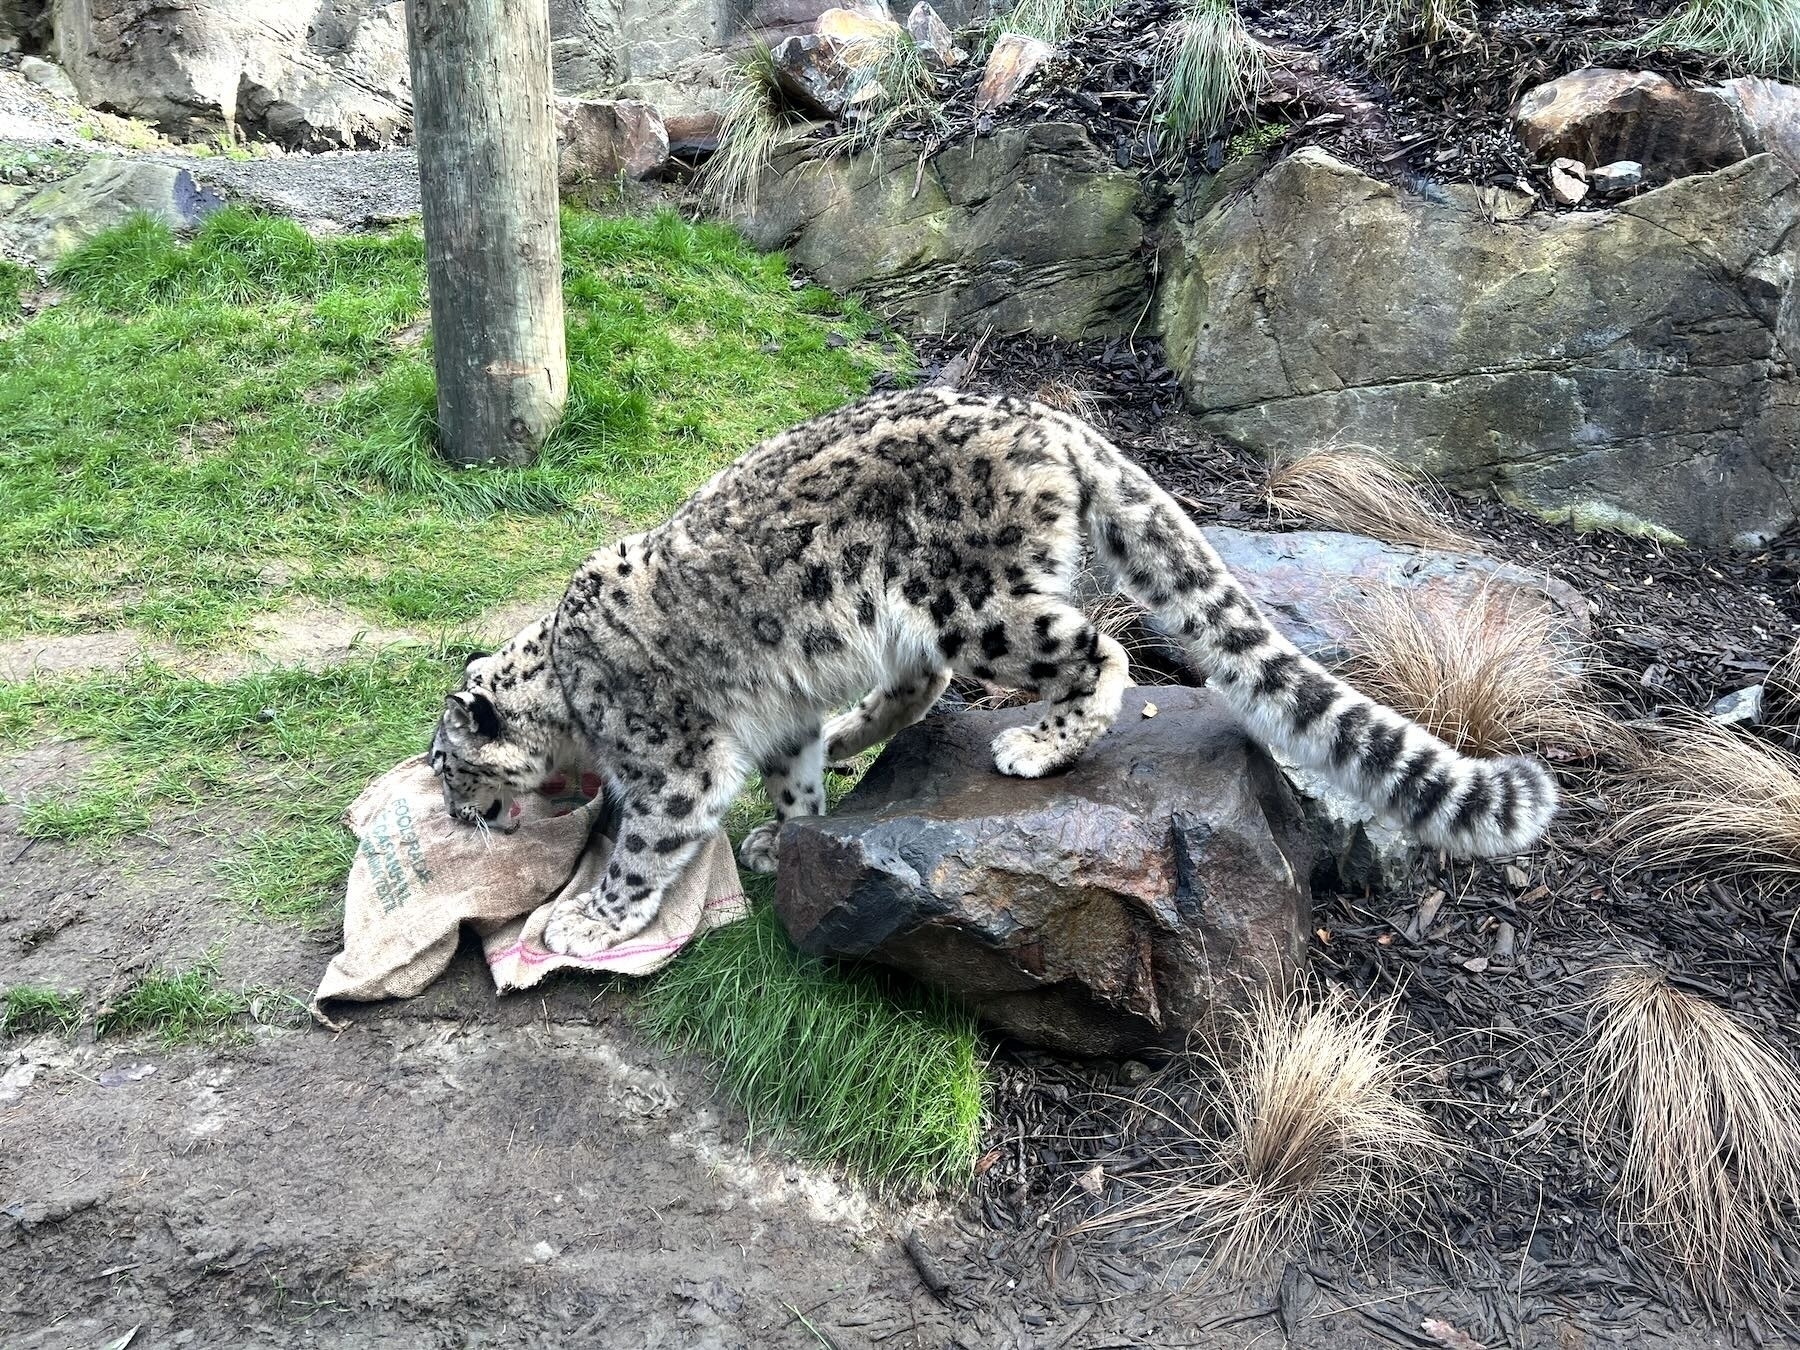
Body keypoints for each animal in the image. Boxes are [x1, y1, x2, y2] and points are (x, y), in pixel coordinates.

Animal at [428, 385, 1555, 957]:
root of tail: (1051, 418)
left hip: (979, 606)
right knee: (920, 685)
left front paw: (582, 918)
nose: (461, 818)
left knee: (1094, 650)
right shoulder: (775, 724)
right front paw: (787, 838)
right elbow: (792, 775)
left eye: (449, 769)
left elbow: (644, 847)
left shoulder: (671, 765)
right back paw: (859, 738)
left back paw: (1036, 746)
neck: (569, 691)